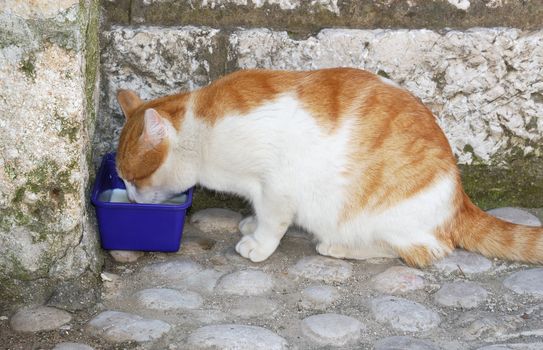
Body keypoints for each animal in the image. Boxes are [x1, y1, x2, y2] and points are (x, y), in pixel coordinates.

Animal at [112, 67, 540, 266]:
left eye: (134, 177)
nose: (129, 198)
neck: (200, 126)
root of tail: (458, 197)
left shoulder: (277, 185)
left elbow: (273, 220)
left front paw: (259, 244)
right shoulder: (258, 189)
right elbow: (259, 212)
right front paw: (250, 224)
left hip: (385, 218)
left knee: (423, 250)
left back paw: (339, 246)